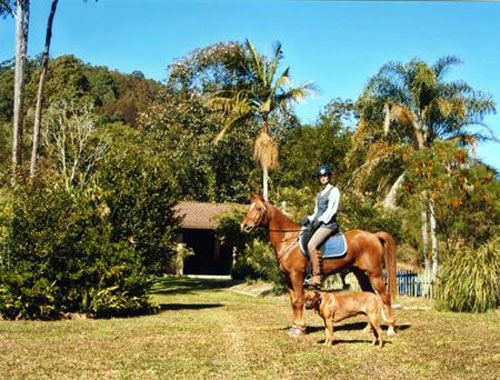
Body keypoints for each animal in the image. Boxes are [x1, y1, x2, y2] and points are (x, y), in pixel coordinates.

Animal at [240, 194, 396, 336]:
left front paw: (300, 329)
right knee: (370, 295)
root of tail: (374, 235)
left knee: (385, 297)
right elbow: (293, 301)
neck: (288, 239)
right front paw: (295, 326)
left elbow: (298, 301)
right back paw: (368, 329)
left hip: (374, 274)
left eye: (259, 208)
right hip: (361, 274)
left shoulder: (297, 276)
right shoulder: (288, 278)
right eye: (249, 207)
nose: (244, 226)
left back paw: (390, 329)